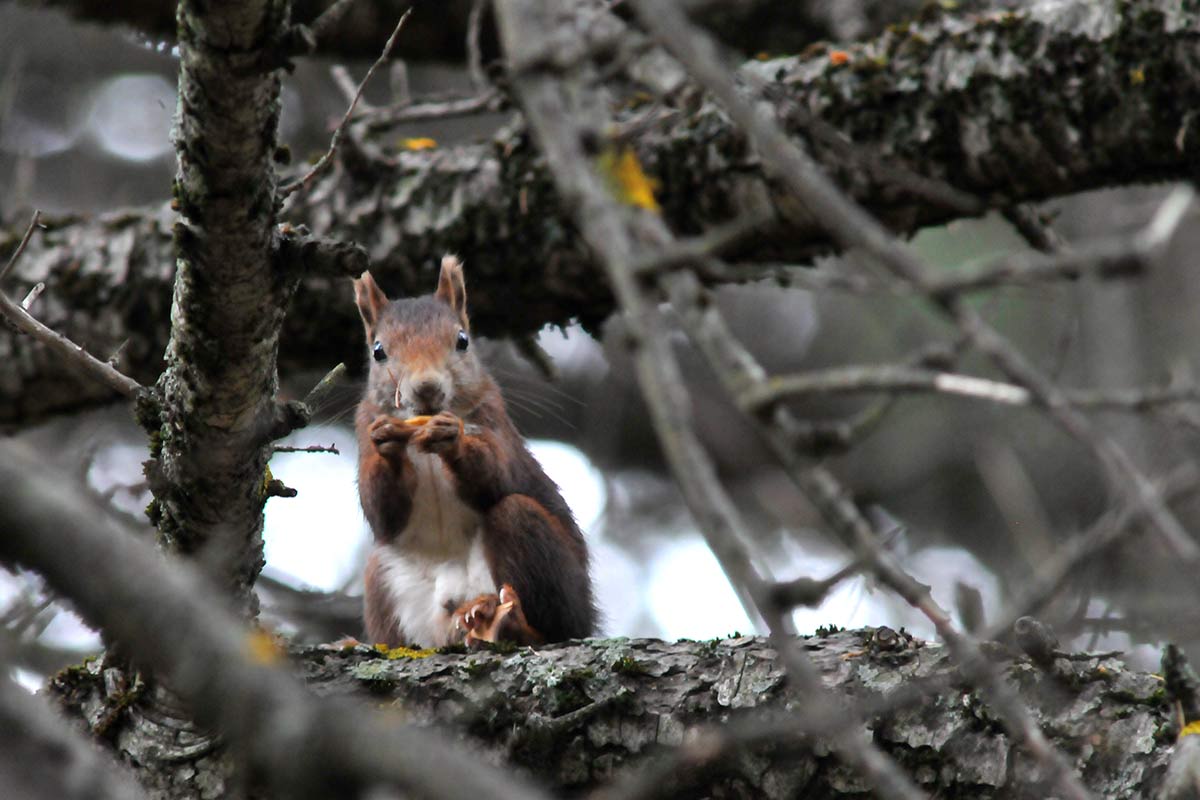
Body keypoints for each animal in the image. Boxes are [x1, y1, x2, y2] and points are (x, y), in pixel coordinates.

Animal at [352, 255, 596, 648]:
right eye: (378, 351)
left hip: (540, 557)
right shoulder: (363, 428)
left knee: (555, 624)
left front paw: (454, 440)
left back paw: (512, 623)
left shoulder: (494, 419)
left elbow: (493, 473)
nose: (426, 388)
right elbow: (381, 510)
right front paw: (387, 445)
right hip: (384, 580)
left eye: (462, 341)